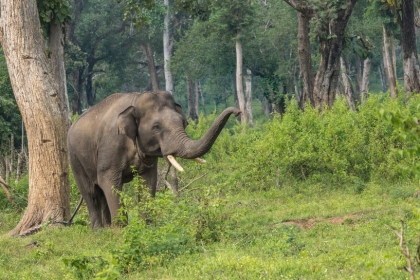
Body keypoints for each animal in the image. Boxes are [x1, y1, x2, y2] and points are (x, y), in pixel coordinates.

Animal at [67, 91, 241, 229]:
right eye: (156, 127)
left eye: (183, 122)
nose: (238, 112)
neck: (136, 100)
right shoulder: (110, 146)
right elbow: (109, 182)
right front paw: (121, 233)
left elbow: (148, 182)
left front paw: (146, 228)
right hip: (75, 159)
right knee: (91, 193)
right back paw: (99, 231)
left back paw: (106, 229)